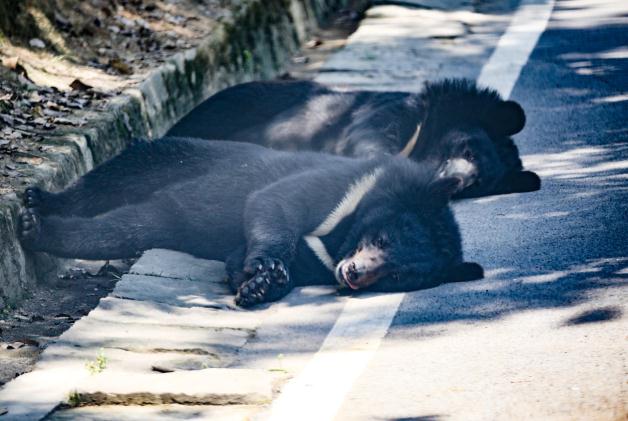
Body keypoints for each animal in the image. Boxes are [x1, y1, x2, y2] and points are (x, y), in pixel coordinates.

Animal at [18, 137, 480, 306]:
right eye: (382, 239)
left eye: (397, 277)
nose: (353, 274)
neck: (339, 240)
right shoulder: (341, 186)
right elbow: (275, 201)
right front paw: (267, 268)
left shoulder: (319, 257)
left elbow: (239, 255)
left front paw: (257, 285)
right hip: (176, 156)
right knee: (110, 177)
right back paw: (34, 207)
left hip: (164, 214)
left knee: (123, 228)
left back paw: (36, 227)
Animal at [169, 78, 544, 199]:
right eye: (467, 149)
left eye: (478, 182)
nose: (456, 181)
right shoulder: (385, 115)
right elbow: (369, 138)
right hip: (238, 104)